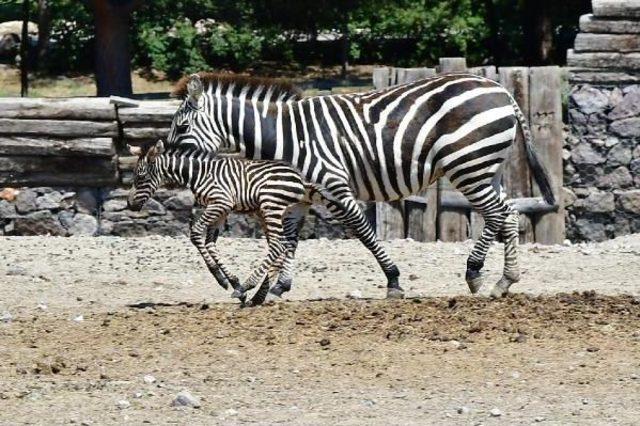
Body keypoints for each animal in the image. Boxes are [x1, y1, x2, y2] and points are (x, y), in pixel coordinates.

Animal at [166, 73, 556, 300]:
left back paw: (476, 273)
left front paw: (394, 281)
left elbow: (364, 233)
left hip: (469, 164)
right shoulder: (299, 197)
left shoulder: (334, 186)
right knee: (507, 214)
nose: (168, 163)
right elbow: (288, 241)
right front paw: (277, 288)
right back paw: (504, 281)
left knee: (497, 214)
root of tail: (502, 89)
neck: (286, 137)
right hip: (485, 167)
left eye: (181, 127)